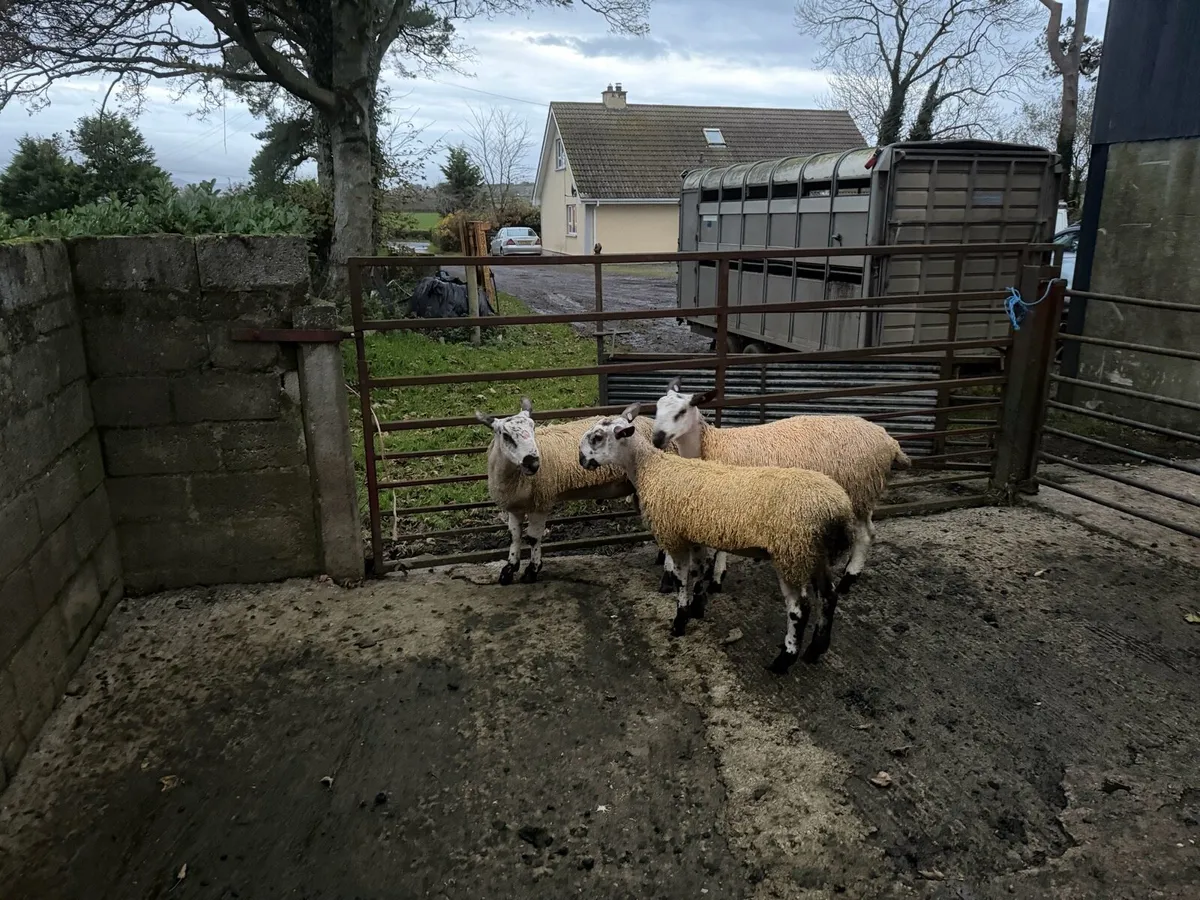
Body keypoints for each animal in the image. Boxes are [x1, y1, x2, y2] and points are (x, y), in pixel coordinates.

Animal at [475, 397, 658, 585]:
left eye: (533, 428)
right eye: (505, 435)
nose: (533, 463)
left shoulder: (542, 502)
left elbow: (533, 538)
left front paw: (532, 570)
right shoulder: (515, 505)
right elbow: (514, 535)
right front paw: (509, 569)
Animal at [578, 403, 857, 673]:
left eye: (597, 437)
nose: (581, 459)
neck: (651, 469)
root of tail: (837, 508)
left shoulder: (674, 536)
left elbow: (681, 581)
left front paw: (679, 621)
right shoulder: (695, 533)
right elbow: (699, 572)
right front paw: (698, 608)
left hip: (791, 552)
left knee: (800, 609)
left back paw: (784, 660)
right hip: (813, 553)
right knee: (829, 596)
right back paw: (816, 649)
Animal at [650, 377, 911, 596]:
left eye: (682, 412)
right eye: (657, 409)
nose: (657, 439)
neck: (710, 446)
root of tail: (889, 440)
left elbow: (721, 546)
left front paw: (716, 578)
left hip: (859, 489)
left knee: (865, 535)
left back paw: (849, 578)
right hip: (863, 492)